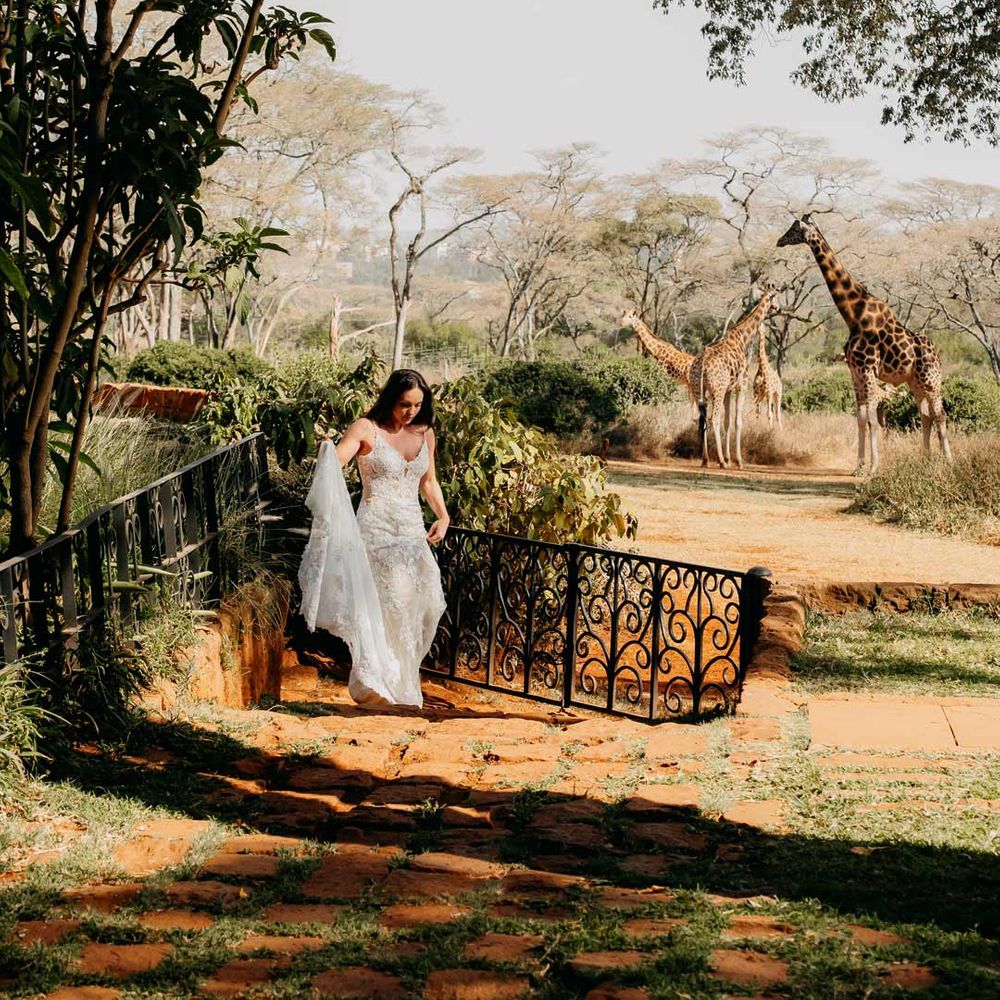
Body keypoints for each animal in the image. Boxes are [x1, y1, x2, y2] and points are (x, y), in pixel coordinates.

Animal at [689, 288, 777, 469]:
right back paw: (721, 462)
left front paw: (729, 458)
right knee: (713, 419)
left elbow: (728, 421)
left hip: (699, 391)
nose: (778, 308)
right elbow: (737, 421)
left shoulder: (728, 390)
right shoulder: (741, 386)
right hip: (716, 391)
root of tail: (701, 363)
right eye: (776, 297)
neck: (742, 338)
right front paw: (738, 460)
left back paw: (705, 460)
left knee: (703, 420)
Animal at [777, 215, 952, 475]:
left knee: (940, 414)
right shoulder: (855, 371)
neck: (853, 316)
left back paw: (949, 462)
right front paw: (858, 466)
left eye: (794, 228)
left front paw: (873, 468)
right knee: (925, 415)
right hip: (915, 382)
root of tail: (938, 356)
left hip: (931, 381)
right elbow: (860, 418)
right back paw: (925, 460)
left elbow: (871, 419)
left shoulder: (867, 369)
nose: (779, 240)